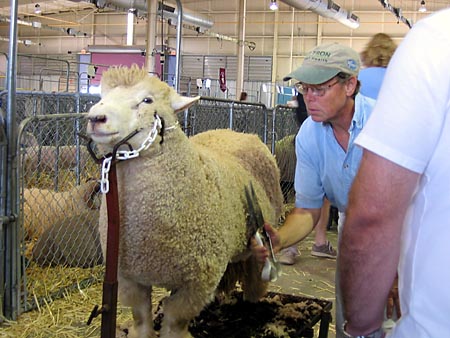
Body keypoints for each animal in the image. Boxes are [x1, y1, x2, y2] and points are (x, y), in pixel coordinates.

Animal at [85, 64, 284, 338]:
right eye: (102, 95)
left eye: (147, 100)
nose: (96, 118)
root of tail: (237, 132)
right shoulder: (128, 278)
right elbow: (141, 318)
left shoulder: (198, 282)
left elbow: (175, 320)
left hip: (261, 235)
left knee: (255, 278)